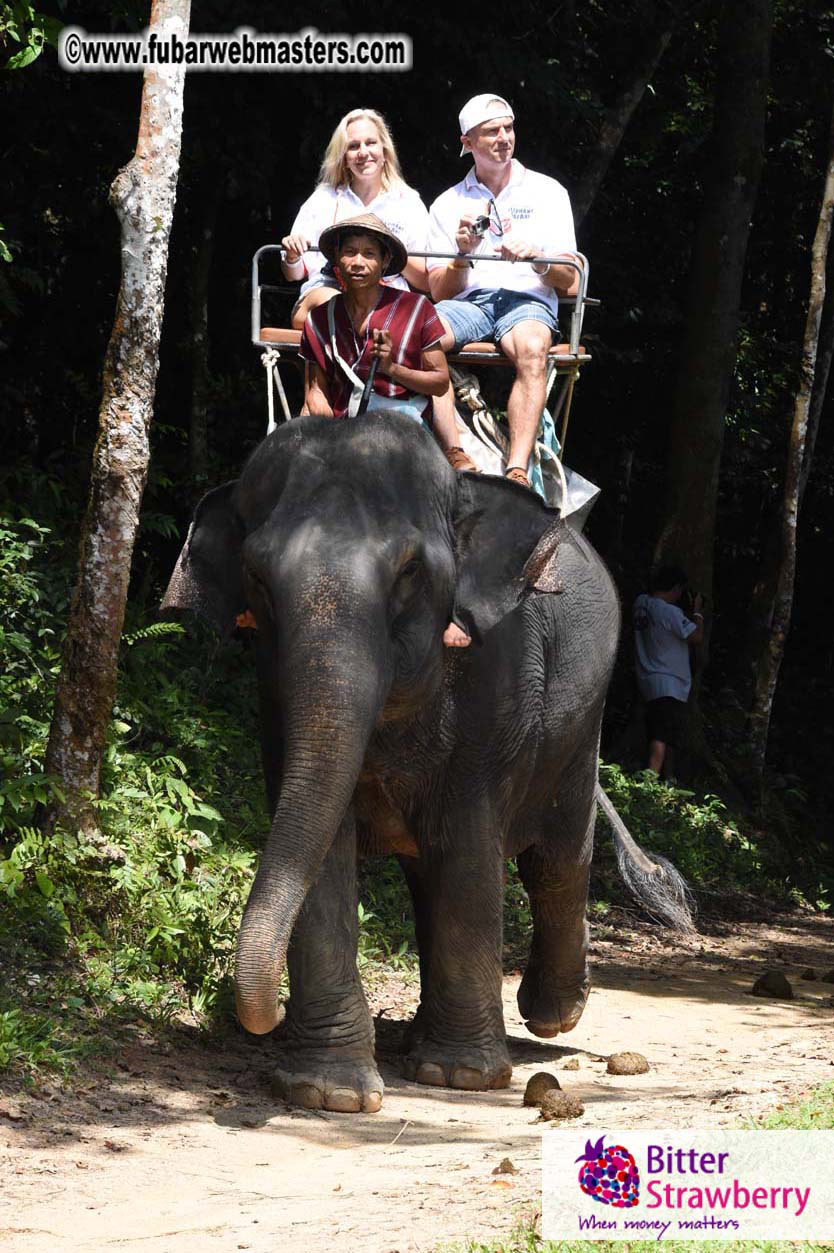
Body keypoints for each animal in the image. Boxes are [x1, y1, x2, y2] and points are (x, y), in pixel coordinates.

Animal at [162, 412, 692, 1113]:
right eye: (256, 576)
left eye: (409, 571)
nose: (263, 1017)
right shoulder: (274, 700)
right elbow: (321, 846)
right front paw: (329, 1093)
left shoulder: (496, 683)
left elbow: (466, 845)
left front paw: (460, 1077)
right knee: (430, 875)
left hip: (582, 720)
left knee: (554, 858)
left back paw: (553, 1014)